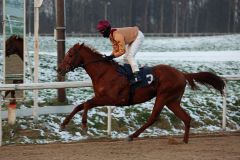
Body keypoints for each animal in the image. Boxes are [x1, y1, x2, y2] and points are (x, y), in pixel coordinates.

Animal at [56, 42, 225, 142]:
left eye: (70, 54)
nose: (59, 69)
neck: (104, 73)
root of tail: (182, 74)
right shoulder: (100, 97)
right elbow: (79, 106)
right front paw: (63, 124)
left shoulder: (111, 99)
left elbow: (86, 104)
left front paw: (84, 125)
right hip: (172, 101)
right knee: (186, 118)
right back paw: (184, 140)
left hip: (163, 96)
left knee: (153, 117)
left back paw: (132, 135)